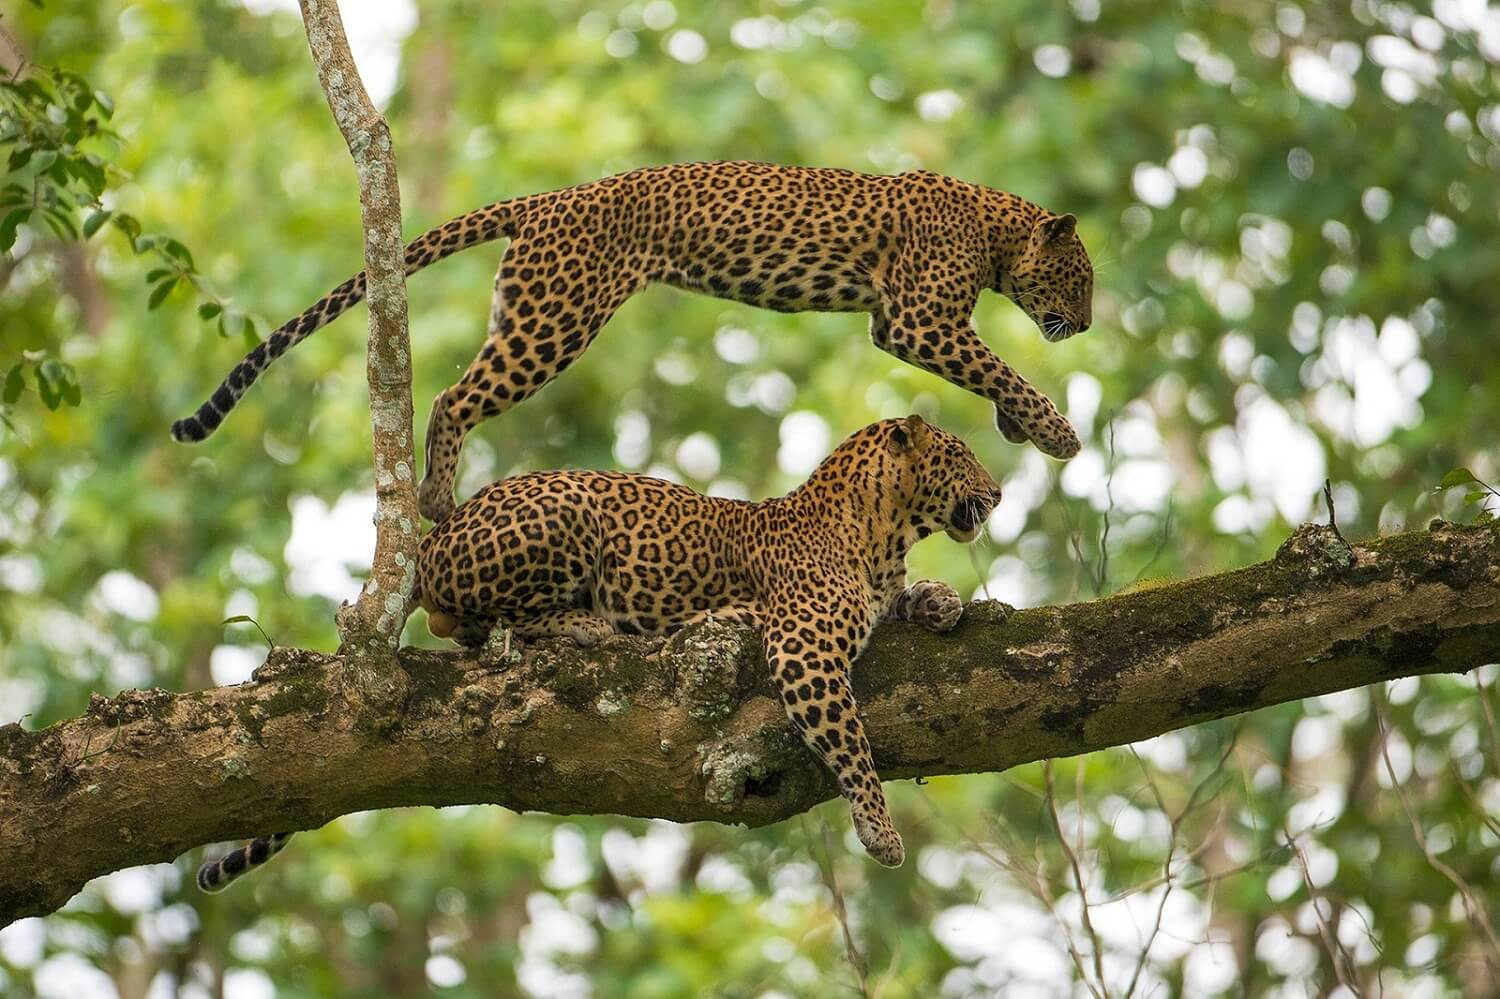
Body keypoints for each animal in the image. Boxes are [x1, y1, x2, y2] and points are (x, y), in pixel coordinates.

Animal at [172, 158, 1092, 516]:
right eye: (1081, 281)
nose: (1083, 325)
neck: (996, 230)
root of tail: (550, 197)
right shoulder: (915, 319)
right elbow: (999, 365)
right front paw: (1056, 431)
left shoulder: (911, 323)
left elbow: (989, 370)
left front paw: (1022, 427)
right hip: (554, 320)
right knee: (451, 396)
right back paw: (434, 497)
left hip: (525, 309)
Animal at [196, 411, 996, 888]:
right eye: (960, 453)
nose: (995, 493)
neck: (883, 534)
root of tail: (429, 537)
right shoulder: (805, 649)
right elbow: (851, 742)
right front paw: (881, 831)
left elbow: (907, 600)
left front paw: (941, 600)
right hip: (571, 516)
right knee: (473, 625)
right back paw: (592, 626)